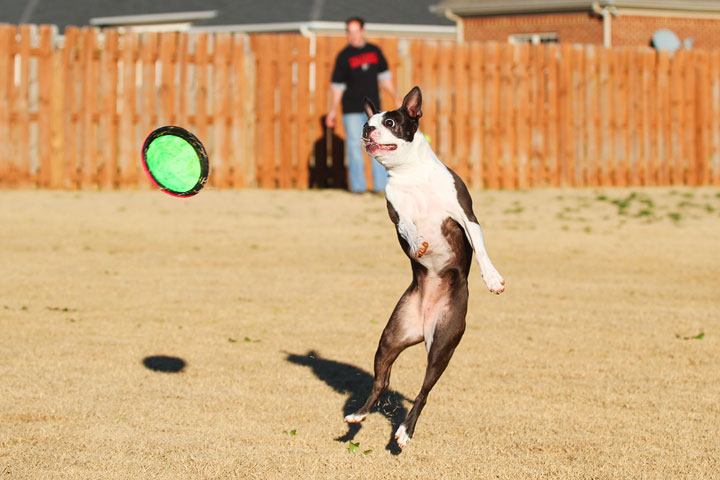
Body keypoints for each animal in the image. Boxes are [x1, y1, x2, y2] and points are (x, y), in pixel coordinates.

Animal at [344, 86, 506, 450]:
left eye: (390, 121)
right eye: (368, 121)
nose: (366, 129)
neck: (411, 175)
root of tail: (423, 324)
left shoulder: (466, 216)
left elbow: (481, 249)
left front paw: (492, 278)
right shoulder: (397, 213)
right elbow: (408, 227)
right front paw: (418, 242)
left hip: (443, 343)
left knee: (423, 392)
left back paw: (405, 431)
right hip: (390, 339)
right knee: (380, 383)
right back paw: (359, 415)